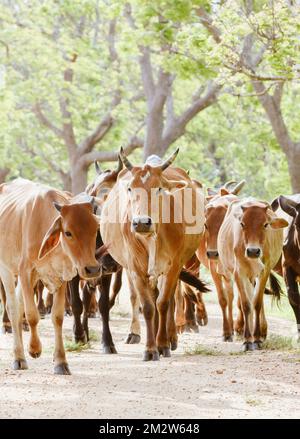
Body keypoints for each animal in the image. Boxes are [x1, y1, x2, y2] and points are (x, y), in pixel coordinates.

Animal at [0, 179, 99, 374]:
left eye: (96, 229)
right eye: (68, 232)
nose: (92, 269)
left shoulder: (61, 276)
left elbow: (58, 317)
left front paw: (61, 361)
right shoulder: (25, 271)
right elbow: (32, 315)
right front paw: (34, 349)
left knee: (19, 306)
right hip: (6, 269)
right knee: (13, 307)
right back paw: (19, 356)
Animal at [218, 199, 288, 350]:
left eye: (265, 224)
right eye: (242, 224)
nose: (253, 251)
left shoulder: (264, 272)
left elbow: (256, 303)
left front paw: (256, 339)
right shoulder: (239, 273)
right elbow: (246, 304)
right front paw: (247, 340)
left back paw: (260, 333)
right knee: (248, 300)